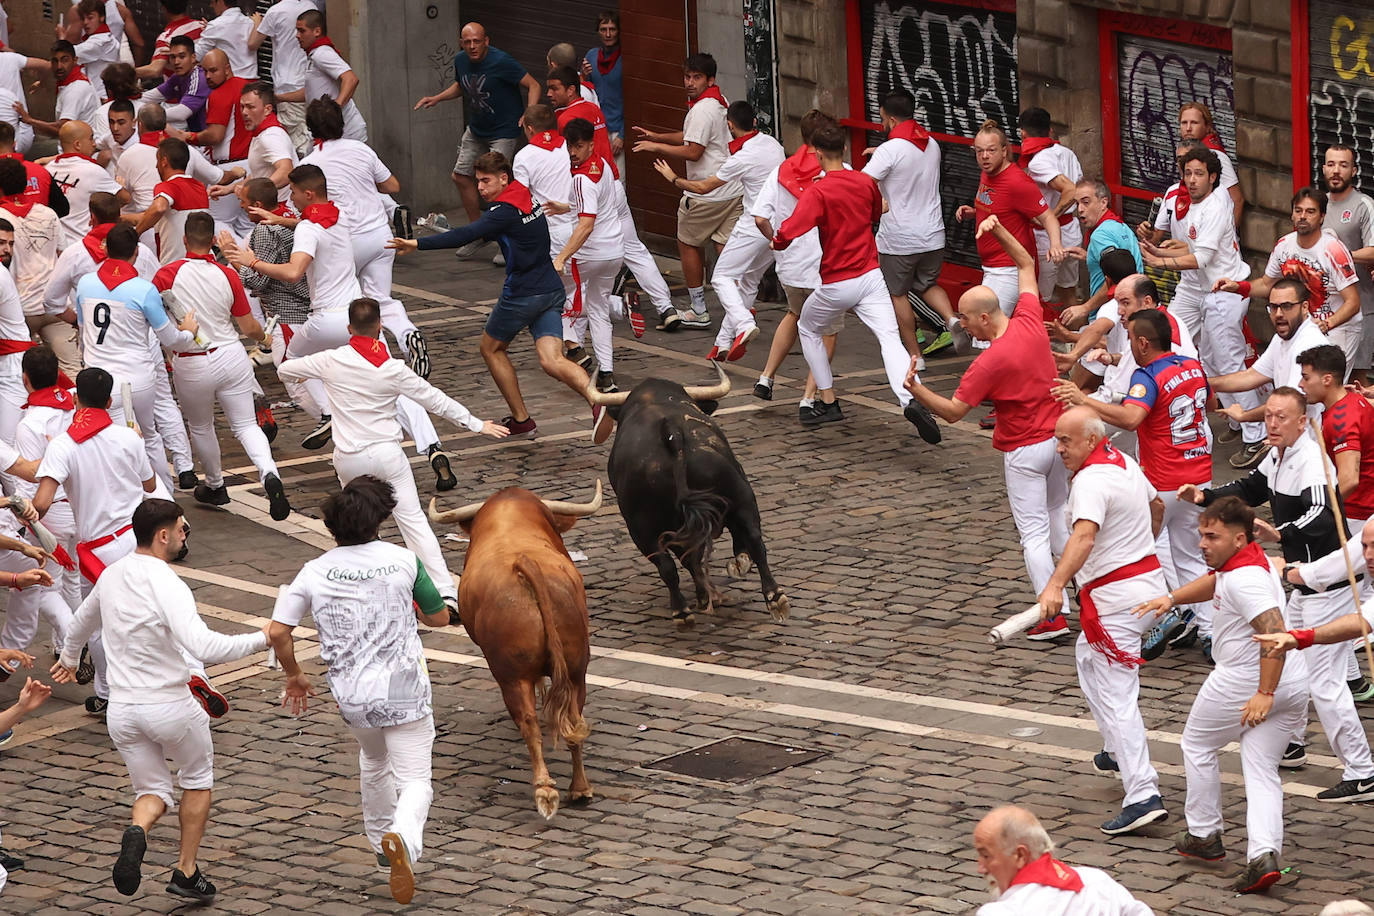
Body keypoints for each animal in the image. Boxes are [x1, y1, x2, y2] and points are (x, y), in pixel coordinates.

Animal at [428, 483, 601, 818]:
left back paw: (545, 791)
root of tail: (524, 563)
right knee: (574, 719)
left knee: (529, 723)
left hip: (510, 676)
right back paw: (580, 788)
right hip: (577, 669)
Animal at [593, 362, 796, 623]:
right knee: (752, 539)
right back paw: (773, 597)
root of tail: (673, 434)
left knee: (671, 565)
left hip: (643, 526)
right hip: (739, 496)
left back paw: (684, 609)